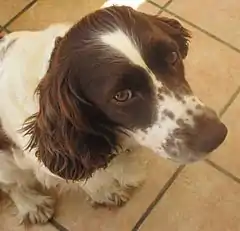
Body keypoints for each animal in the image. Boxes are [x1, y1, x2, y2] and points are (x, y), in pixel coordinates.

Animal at [0, 5, 227, 225]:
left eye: (172, 56)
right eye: (121, 95)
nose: (216, 136)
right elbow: (90, 180)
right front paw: (106, 191)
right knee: (12, 184)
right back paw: (31, 204)